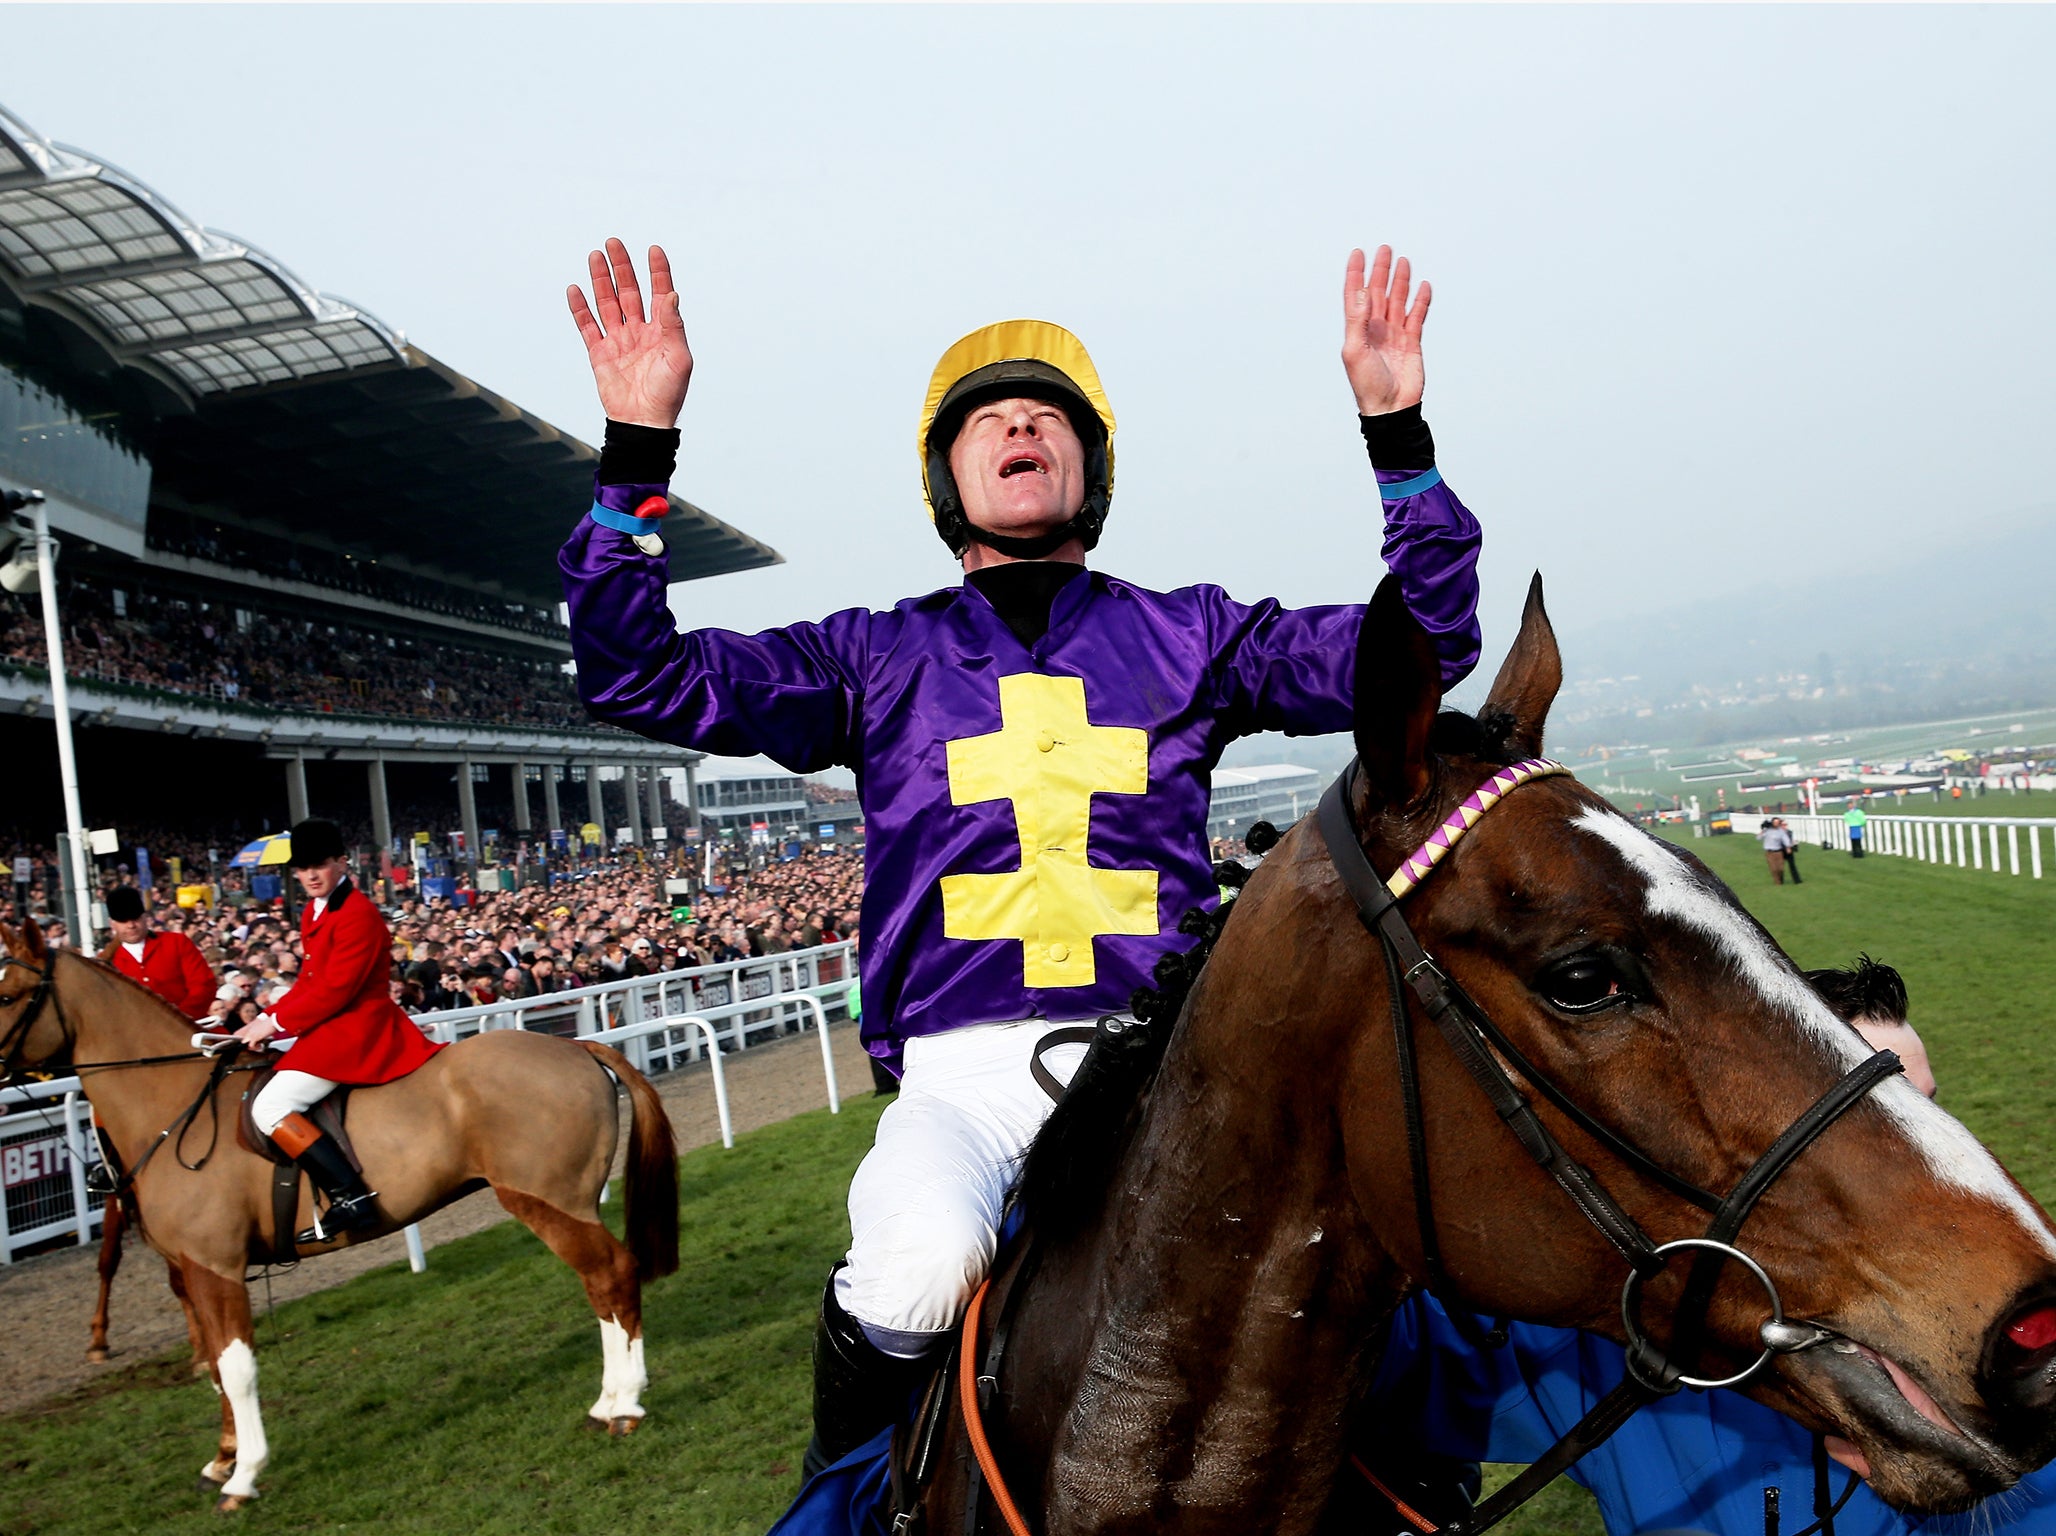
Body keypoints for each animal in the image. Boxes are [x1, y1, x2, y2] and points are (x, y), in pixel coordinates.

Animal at [0, 937, 682, 1513]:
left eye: (6, 994)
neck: (174, 1107)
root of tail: (575, 1045)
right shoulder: (192, 1270)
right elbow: (216, 1367)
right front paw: (223, 1459)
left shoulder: (217, 1267)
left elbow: (238, 1367)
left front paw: (244, 1476)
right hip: (568, 1203)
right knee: (601, 1286)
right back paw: (608, 1401)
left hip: (546, 1202)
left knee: (611, 1274)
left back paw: (625, 1404)